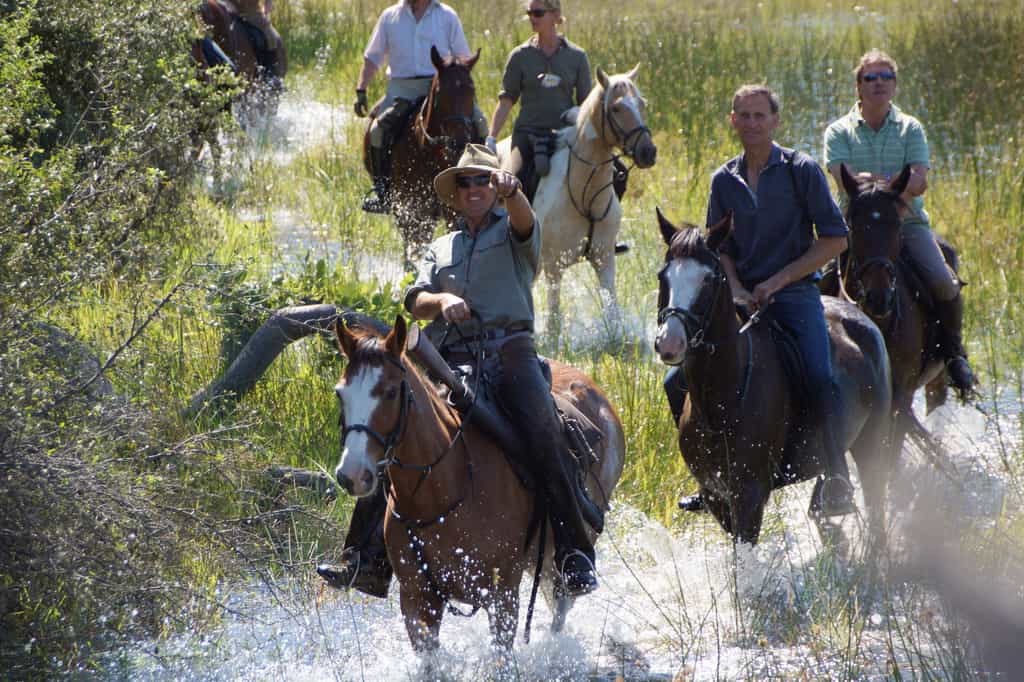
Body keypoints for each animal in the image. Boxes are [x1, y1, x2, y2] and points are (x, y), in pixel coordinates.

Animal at [331, 316, 624, 652]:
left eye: (391, 392)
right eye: (340, 393)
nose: (352, 475)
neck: (440, 493)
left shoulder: (502, 598)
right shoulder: (417, 601)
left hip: (563, 561)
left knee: (561, 608)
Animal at [499, 65, 657, 344]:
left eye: (641, 104)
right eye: (616, 108)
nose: (648, 152)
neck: (585, 193)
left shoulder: (604, 258)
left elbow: (612, 312)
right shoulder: (553, 264)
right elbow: (554, 321)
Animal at [653, 210, 894, 547]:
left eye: (709, 279)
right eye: (663, 277)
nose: (670, 343)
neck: (723, 399)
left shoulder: (750, 495)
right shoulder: (717, 496)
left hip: (873, 443)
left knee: (876, 513)